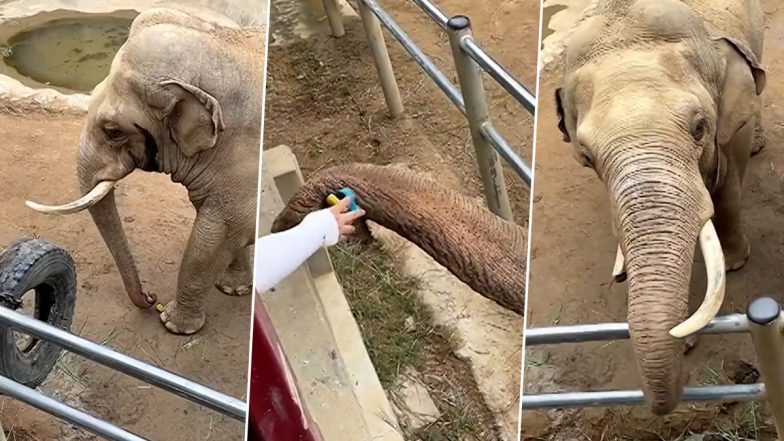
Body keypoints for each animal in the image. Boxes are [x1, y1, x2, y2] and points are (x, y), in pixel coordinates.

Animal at [24, 7, 264, 334]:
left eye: (112, 130)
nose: (151, 297)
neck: (226, 42)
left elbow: (214, 235)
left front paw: (174, 325)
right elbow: (229, 226)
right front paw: (231, 289)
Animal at [556, 0, 768, 412]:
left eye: (700, 127)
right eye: (586, 157)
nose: (683, 341)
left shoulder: (730, 119)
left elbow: (728, 188)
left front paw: (735, 263)